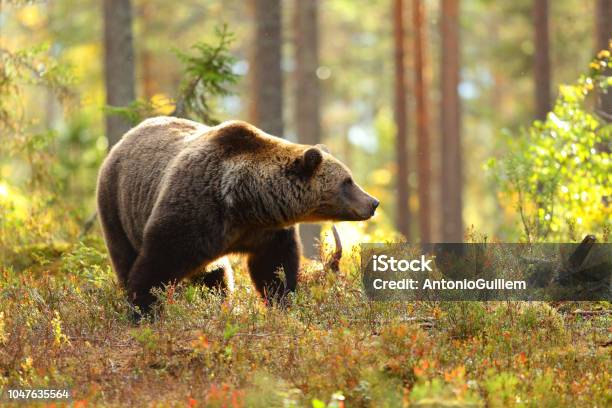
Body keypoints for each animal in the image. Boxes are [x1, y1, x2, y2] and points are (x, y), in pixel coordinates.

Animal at [97, 116, 378, 318]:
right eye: (347, 181)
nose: (373, 202)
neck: (245, 202)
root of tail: (123, 139)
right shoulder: (194, 210)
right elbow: (158, 261)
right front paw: (143, 309)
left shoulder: (266, 231)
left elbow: (273, 268)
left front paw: (282, 302)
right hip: (117, 205)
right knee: (124, 255)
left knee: (215, 275)